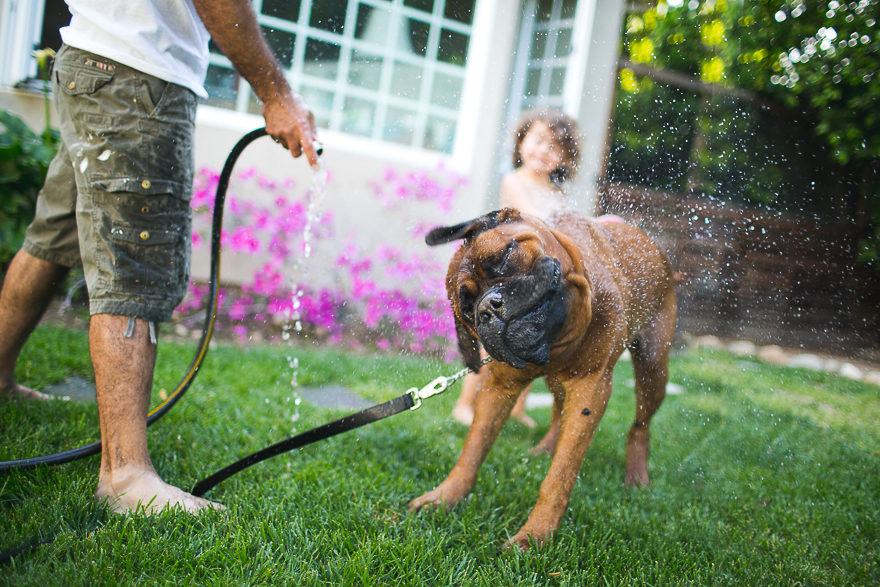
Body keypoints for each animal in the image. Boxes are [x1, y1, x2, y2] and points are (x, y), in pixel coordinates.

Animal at [410, 209, 676, 548]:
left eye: (504, 256)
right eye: (468, 310)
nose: (487, 308)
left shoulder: (590, 388)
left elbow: (560, 474)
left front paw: (534, 536)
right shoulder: (498, 387)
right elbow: (472, 450)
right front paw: (445, 496)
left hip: (654, 368)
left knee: (640, 426)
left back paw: (637, 476)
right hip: (557, 382)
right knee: (558, 410)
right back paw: (546, 448)